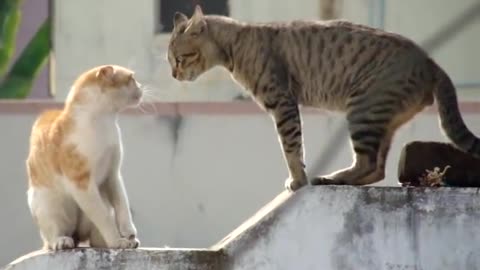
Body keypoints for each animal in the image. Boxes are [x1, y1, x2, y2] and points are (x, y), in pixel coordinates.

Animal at [26, 64, 142, 250]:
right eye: (131, 78)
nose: (141, 86)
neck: (104, 121)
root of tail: (78, 236)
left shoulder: (113, 174)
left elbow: (122, 203)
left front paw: (128, 231)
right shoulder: (81, 183)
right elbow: (104, 217)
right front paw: (116, 241)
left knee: (94, 238)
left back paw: (123, 242)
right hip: (49, 205)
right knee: (54, 236)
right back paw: (62, 241)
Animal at [168, 5, 480, 192]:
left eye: (179, 59)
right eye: (170, 61)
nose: (173, 74)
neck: (237, 45)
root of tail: (431, 62)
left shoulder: (282, 103)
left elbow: (292, 148)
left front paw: (298, 180)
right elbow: (294, 148)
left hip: (363, 111)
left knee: (368, 164)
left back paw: (331, 177)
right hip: (381, 120)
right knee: (377, 168)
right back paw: (339, 178)